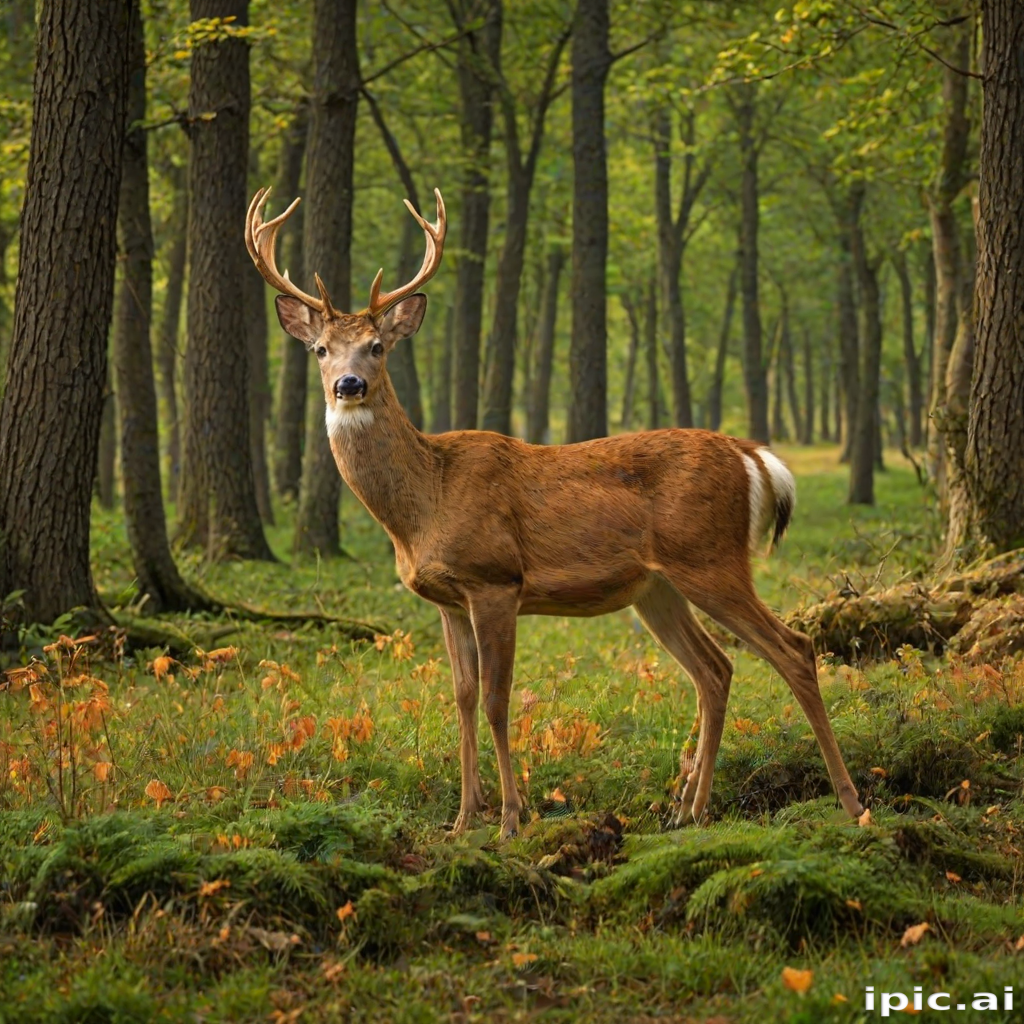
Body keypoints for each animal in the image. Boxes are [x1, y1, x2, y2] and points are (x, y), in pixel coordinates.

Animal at [245, 186, 864, 840]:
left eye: (377, 346)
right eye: (321, 349)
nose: (349, 385)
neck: (423, 507)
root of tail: (751, 457)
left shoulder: (495, 580)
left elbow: (497, 700)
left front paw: (511, 819)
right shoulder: (445, 599)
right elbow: (462, 698)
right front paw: (463, 820)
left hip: (711, 557)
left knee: (794, 648)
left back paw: (848, 801)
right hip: (658, 587)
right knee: (715, 669)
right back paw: (689, 809)